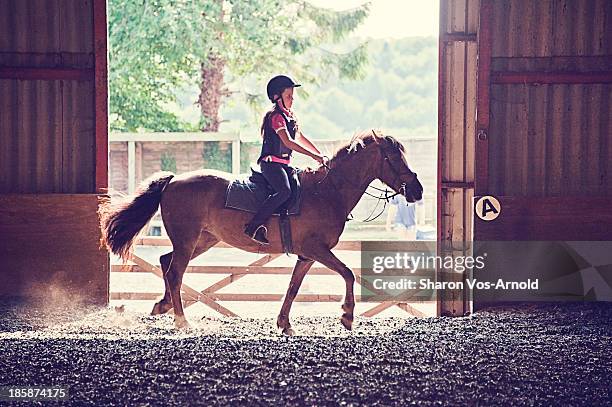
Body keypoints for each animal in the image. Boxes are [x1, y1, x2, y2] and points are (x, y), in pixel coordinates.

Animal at [101, 131, 426, 334]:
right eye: (395, 159)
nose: (418, 190)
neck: (327, 191)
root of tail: (174, 180)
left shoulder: (307, 255)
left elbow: (293, 287)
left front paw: (284, 323)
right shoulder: (317, 250)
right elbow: (347, 273)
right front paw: (346, 316)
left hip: (202, 240)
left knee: (166, 262)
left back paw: (163, 305)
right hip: (188, 240)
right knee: (175, 272)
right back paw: (182, 321)